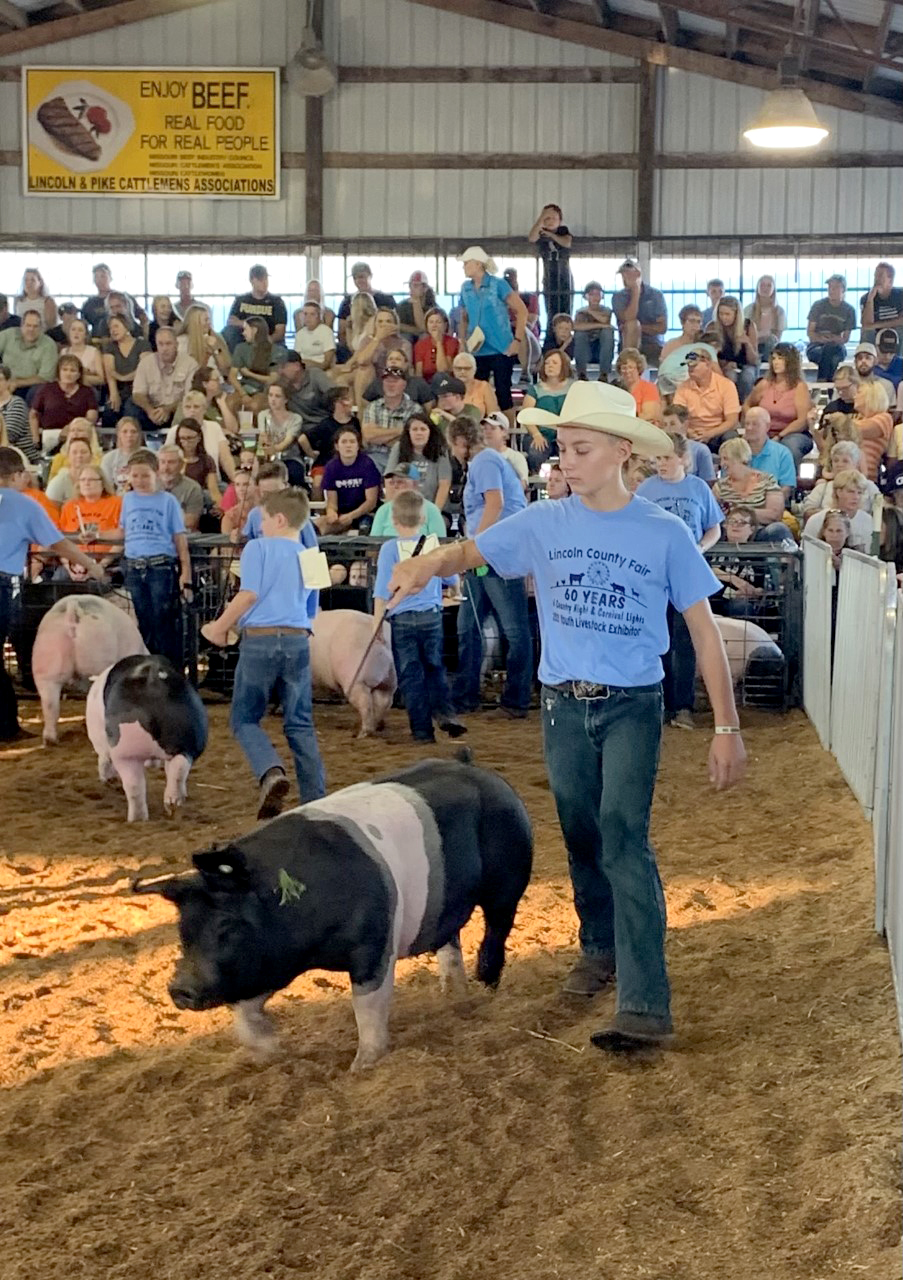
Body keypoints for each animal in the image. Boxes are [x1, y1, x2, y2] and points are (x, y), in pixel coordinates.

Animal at [86, 655, 207, 824]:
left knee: (134, 785)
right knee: (179, 768)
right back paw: (173, 806)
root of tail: (154, 681)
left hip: (125, 750)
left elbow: (103, 759)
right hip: (191, 735)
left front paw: (107, 780)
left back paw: (136, 819)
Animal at [133, 747, 527, 1070]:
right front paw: (267, 1053)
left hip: (508, 880)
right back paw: (451, 996)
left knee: (496, 930)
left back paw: (487, 988)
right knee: (450, 941)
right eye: (182, 930)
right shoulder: (272, 961)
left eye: (227, 925)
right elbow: (247, 1009)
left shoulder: (375, 941)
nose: (179, 989)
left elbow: (368, 1007)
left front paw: (360, 1067)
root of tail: (475, 767)